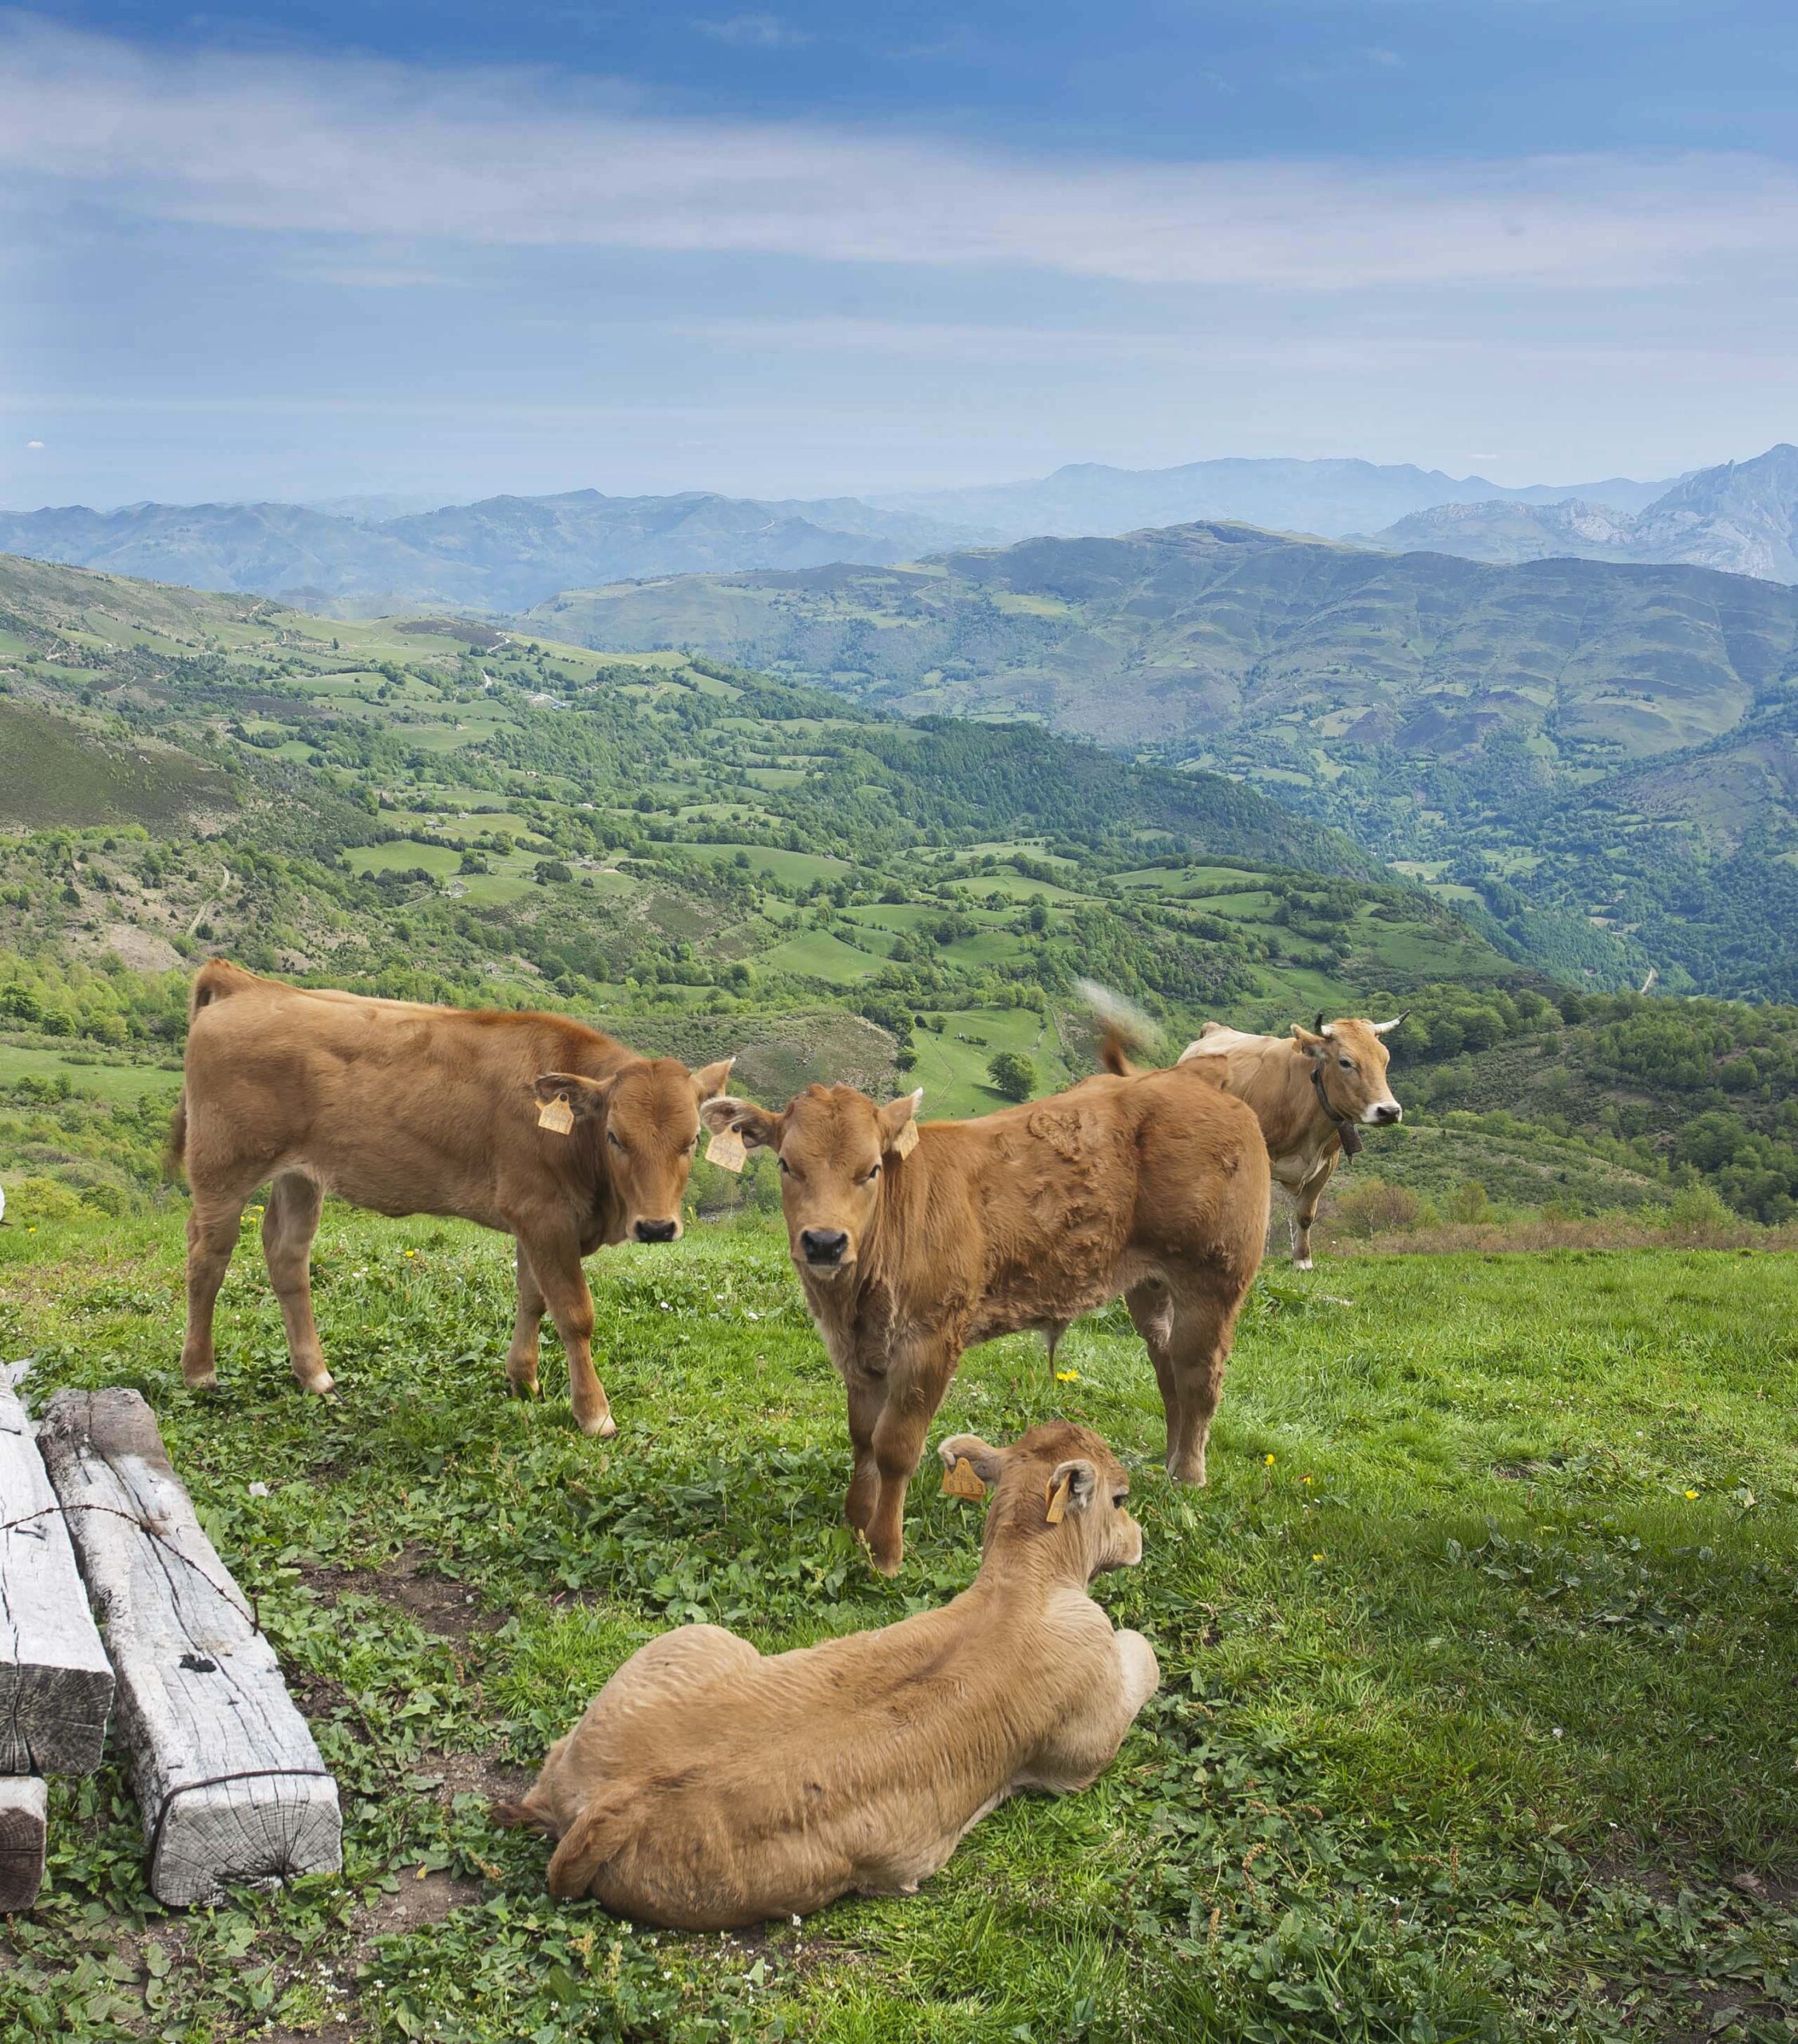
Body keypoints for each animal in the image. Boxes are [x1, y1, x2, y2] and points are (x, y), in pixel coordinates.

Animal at [167, 960, 734, 1436]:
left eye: (691, 1141)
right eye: (616, 1137)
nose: (656, 1227)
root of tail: (246, 984)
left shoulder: (532, 1218)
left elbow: (533, 1298)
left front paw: (523, 1380)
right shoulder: (543, 1214)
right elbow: (574, 1312)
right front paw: (594, 1414)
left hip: (300, 1176)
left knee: (287, 1258)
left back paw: (315, 1376)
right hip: (222, 1168)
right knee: (207, 1257)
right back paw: (200, 1373)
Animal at [493, 1420, 1159, 1928]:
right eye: (1121, 1499)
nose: (1139, 1539)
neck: (1025, 1584)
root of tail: (611, 1801)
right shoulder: (1083, 1745)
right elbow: (1143, 1651)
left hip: (683, 1645)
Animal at [698, 1051, 1269, 1574]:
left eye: (872, 1170)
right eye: (785, 1164)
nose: (823, 1242)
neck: (854, 1300)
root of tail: (1195, 1079)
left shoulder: (930, 1340)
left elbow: (895, 1447)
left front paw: (885, 1552)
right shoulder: (857, 1352)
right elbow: (862, 1438)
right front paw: (855, 1527)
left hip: (1213, 1279)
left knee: (1199, 1379)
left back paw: (1189, 1477)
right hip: (1150, 1284)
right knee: (1167, 1366)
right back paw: (1167, 1466)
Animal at [1160, 1013, 1407, 1270]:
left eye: (1385, 1059)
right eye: (1345, 1062)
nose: (1389, 1111)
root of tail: (1214, 1029)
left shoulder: (1327, 1165)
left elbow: (1306, 1214)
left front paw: (1302, 1259)